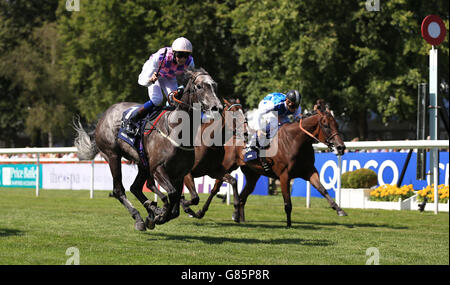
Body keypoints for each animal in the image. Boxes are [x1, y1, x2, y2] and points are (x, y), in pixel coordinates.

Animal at [73, 67, 222, 230]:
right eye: (200, 86)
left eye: (215, 85)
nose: (217, 107)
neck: (175, 129)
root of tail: (104, 116)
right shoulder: (157, 168)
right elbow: (172, 193)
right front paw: (161, 215)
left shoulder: (179, 174)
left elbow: (178, 201)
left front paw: (160, 213)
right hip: (112, 155)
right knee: (119, 190)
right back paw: (139, 217)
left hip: (142, 163)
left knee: (135, 187)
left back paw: (151, 209)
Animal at [185, 100, 346, 226]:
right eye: (326, 125)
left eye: (337, 124)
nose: (341, 147)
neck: (296, 141)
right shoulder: (284, 175)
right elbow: (287, 203)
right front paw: (288, 224)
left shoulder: (309, 171)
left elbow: (322, 189)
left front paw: (339, 209)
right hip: (227, 166)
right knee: (215, 189)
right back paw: (200, 212)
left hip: (252, 175)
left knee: (243, 196)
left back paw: (238, 217)